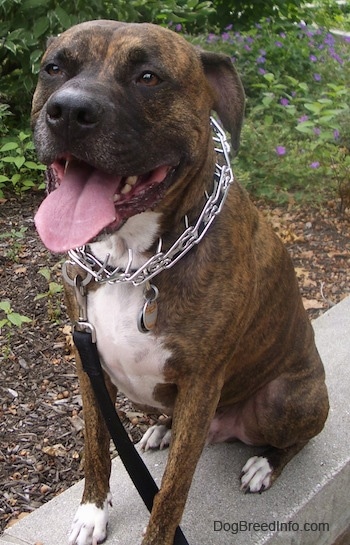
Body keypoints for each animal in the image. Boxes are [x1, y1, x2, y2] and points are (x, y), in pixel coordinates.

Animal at [31, 19, 330, 540]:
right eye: (54, 68)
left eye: (149, 77)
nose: (68, 111)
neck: (131, 263)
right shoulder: (90, 368)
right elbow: (96, 448)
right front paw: (92, 513)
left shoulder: (201, 383)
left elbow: (170, 492)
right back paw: (162, 430)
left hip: (285, 398)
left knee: (294, 441)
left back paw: (263, 464)